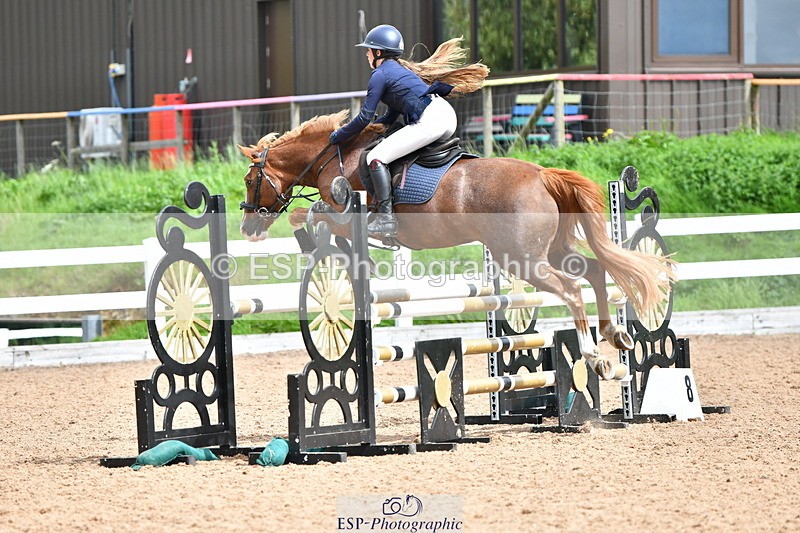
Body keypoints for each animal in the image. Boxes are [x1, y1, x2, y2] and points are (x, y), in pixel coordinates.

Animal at [236, 110, 675, 380]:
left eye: (248, 179)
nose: (247, 227)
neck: (331, 158)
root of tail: (542, 174)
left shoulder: (345, 212)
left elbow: (307, 215)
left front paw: (313, 240)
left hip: (521, 260)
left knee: (570, 289)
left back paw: (594, 355)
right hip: (547, 251)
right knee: (596, 271)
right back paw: (615, 335)